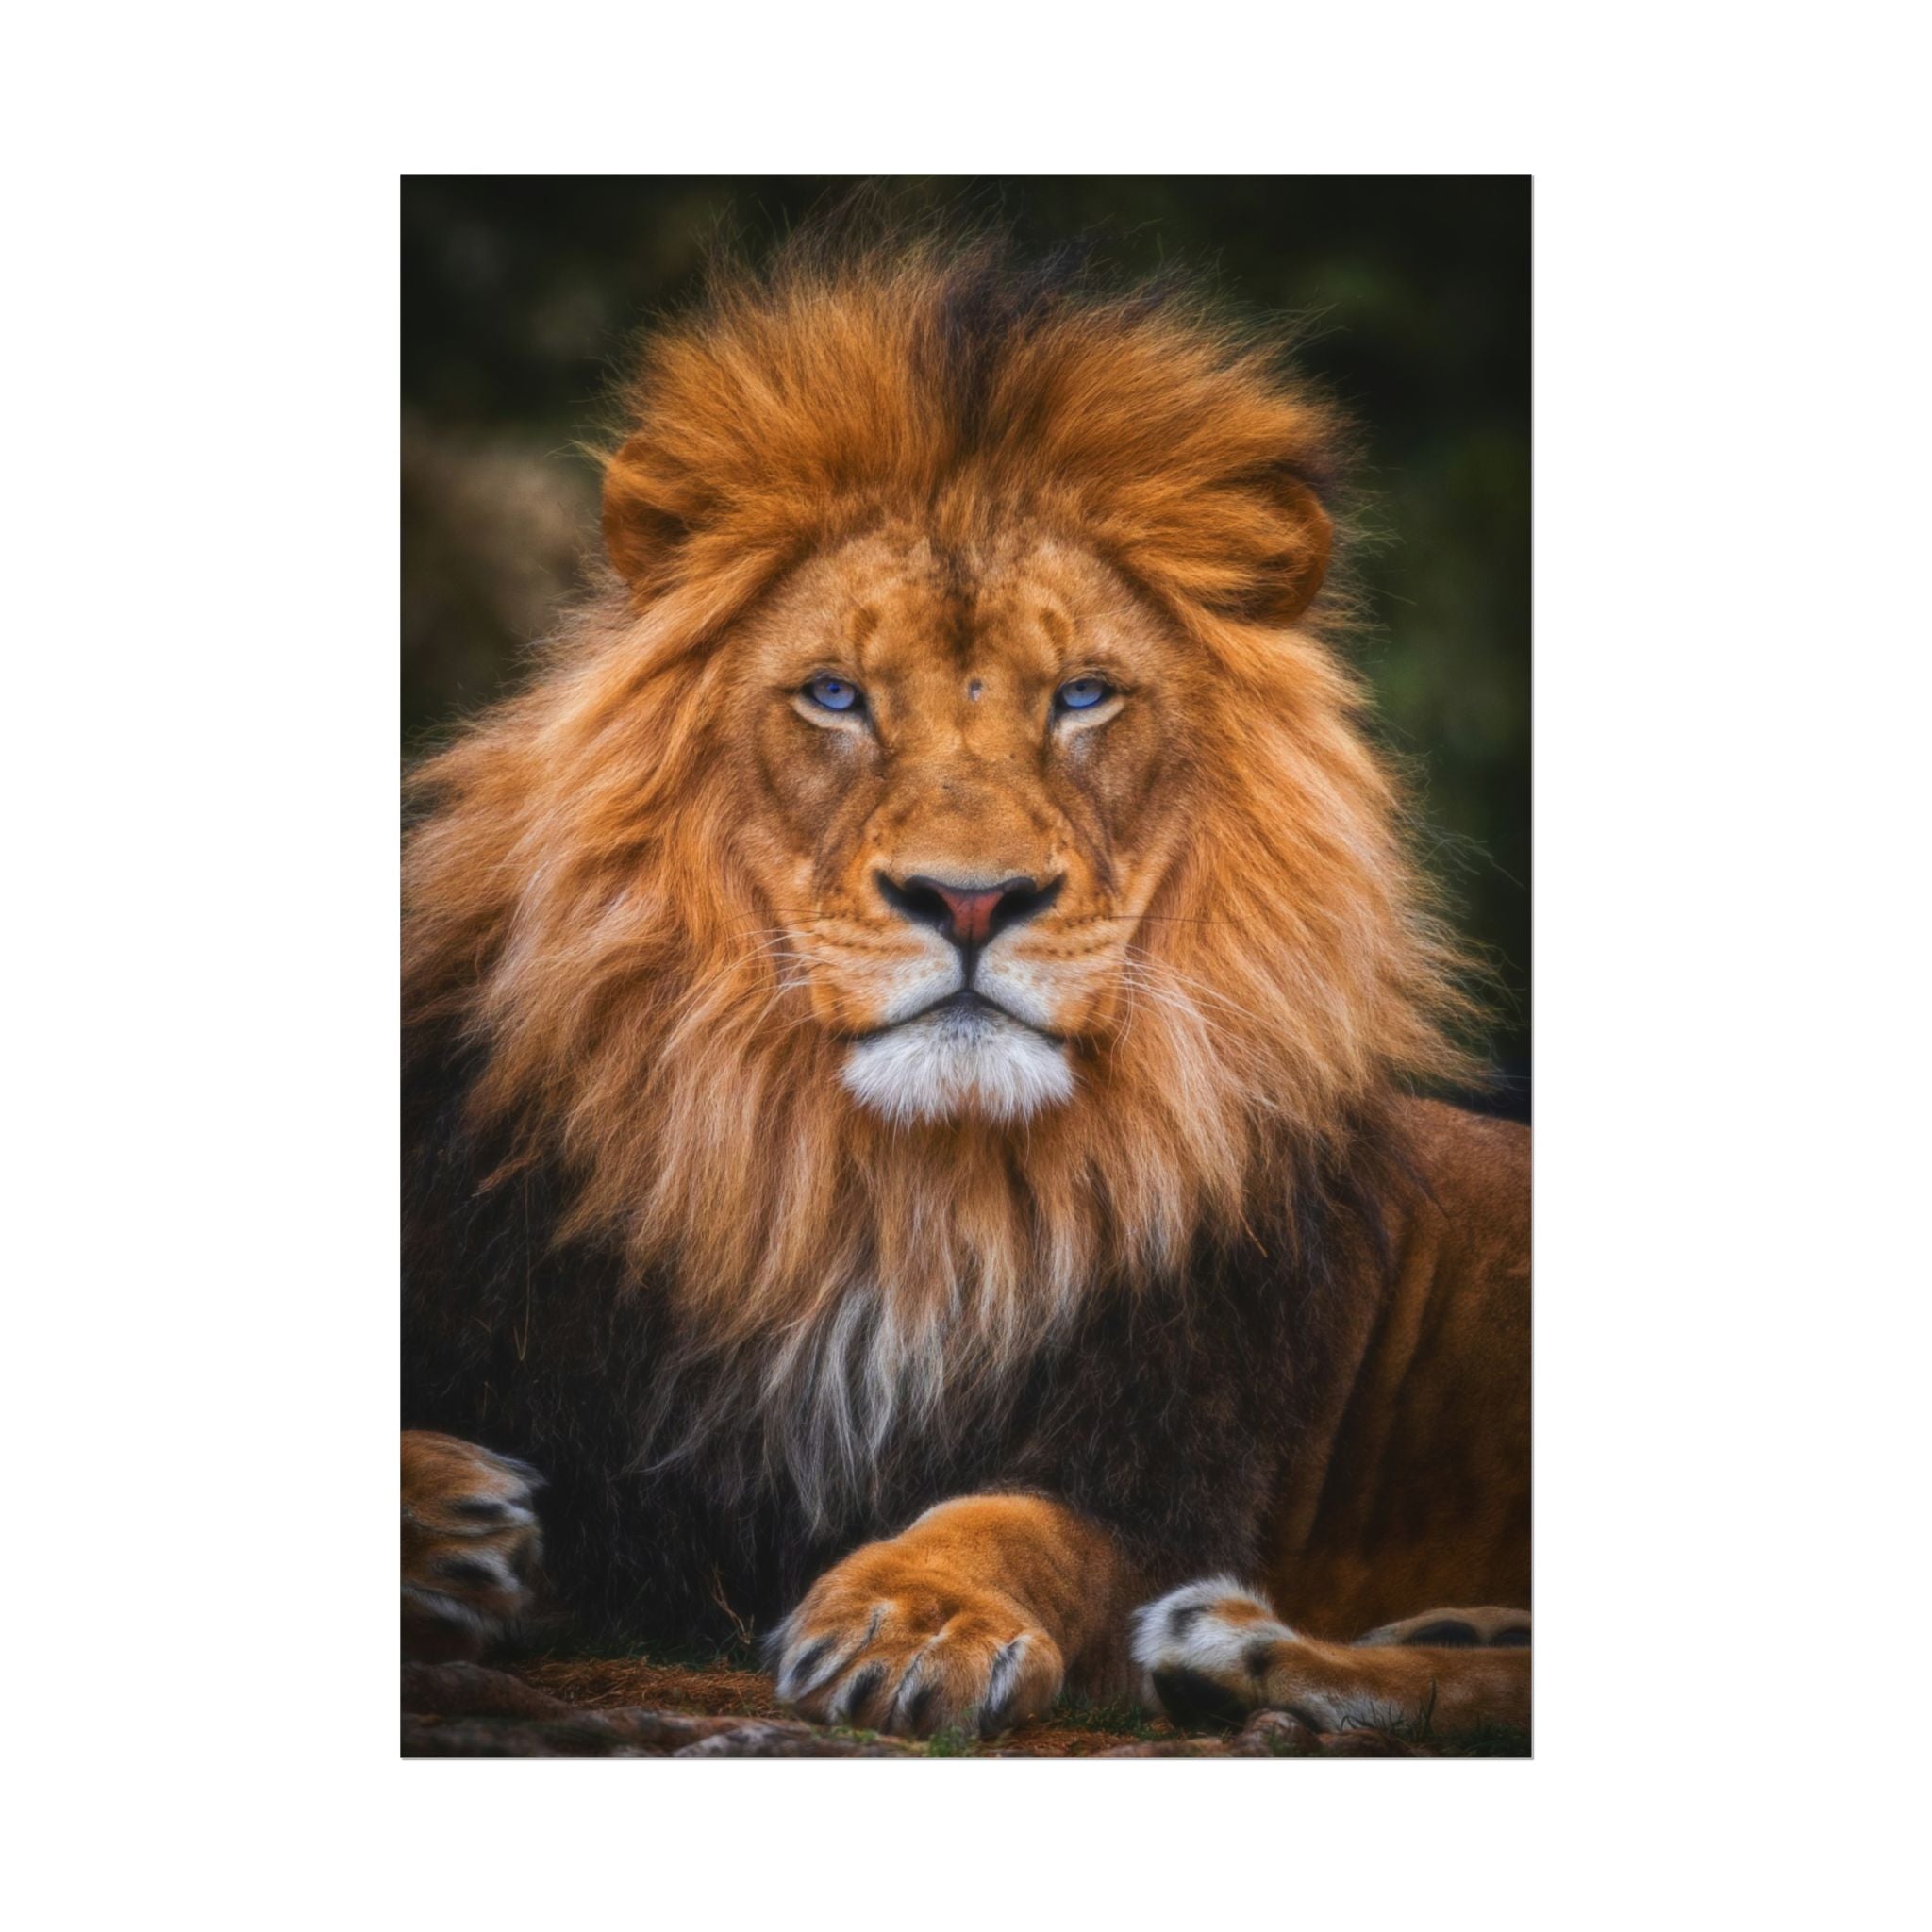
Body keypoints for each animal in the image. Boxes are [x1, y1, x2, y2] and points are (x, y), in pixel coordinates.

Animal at [401, 229, 1530, 1746]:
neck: (889, 1196)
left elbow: (1020, 1523)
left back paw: (1241, 1648)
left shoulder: (1169, 1461)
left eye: (1083, 696)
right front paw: (451, 1520)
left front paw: (912, 1616)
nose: (972, 899)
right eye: (833, 695)